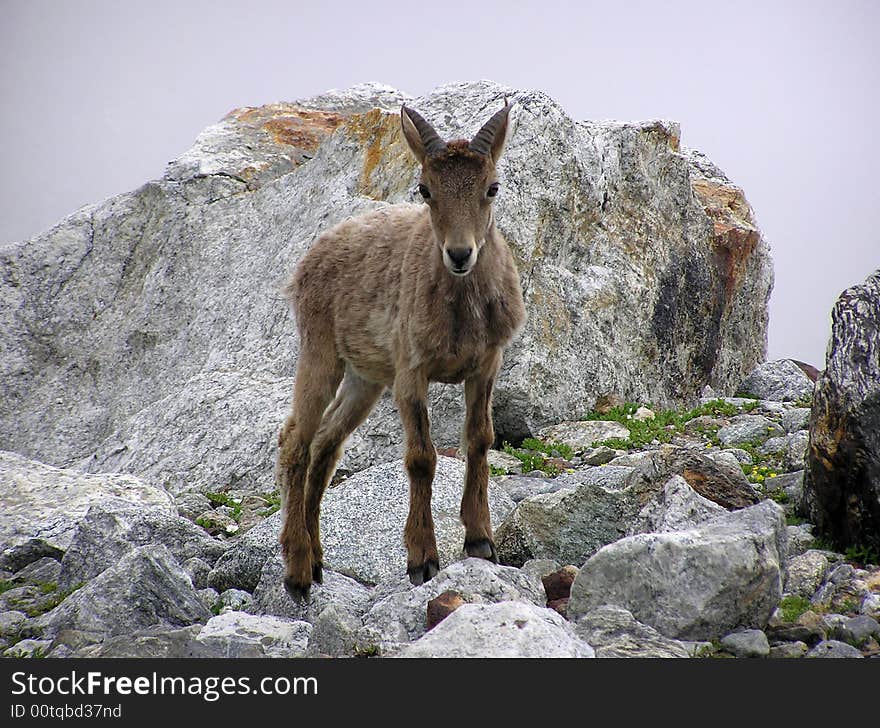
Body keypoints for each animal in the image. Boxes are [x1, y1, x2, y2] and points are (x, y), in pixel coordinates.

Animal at [276, 104, 524, 604]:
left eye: (492, 187)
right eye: (425, 189)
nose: (460, 254)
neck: (460, 312)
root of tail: (311, 256)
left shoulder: (486, 364)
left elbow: (479, 439)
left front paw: (480, 540)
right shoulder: (411, 371)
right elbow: (422, 457)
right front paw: (422, 559)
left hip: (365, 379)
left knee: (326, 444)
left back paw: (317, 560)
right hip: (320, 352)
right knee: (296, 442)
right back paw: (296, 570)